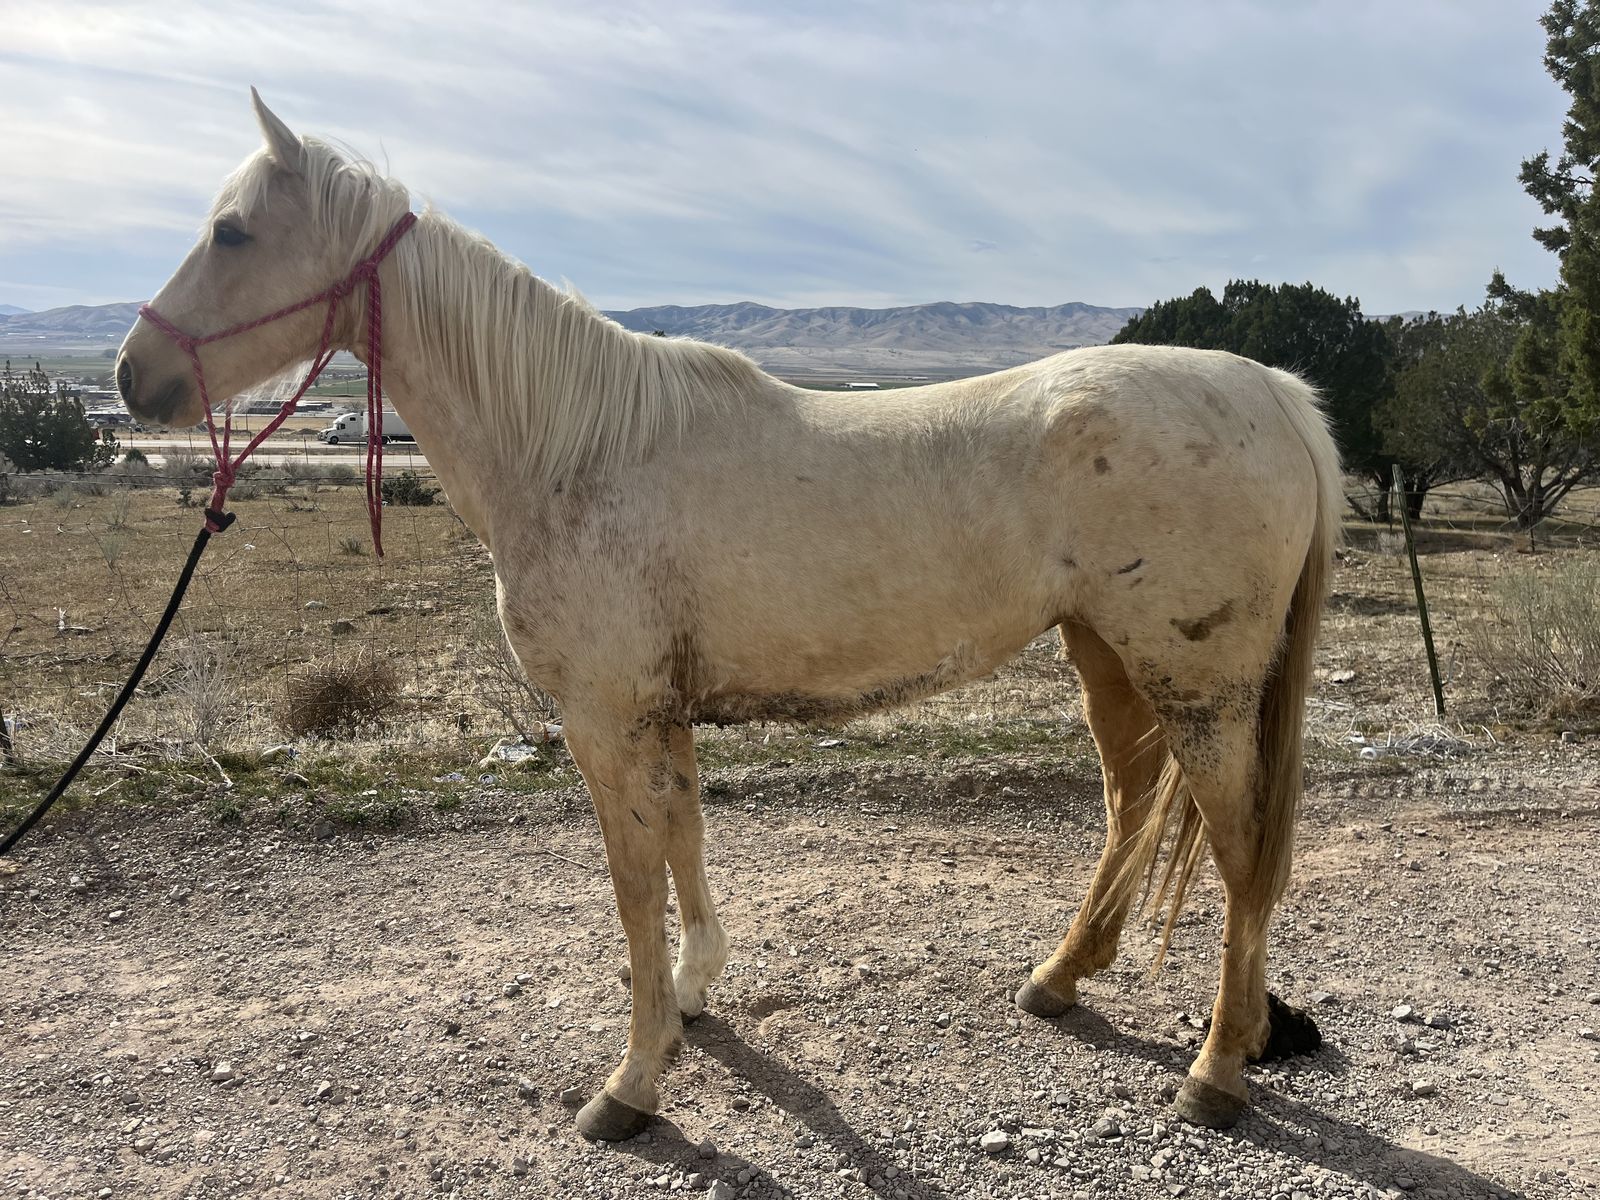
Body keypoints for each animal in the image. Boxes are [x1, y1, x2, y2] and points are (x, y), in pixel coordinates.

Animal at [116, 92, 1340, 1141]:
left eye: (231, 233)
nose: (134, 378)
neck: (574, 447)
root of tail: (1277, 394)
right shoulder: (660, 713)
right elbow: (684, 844)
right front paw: (694, 997)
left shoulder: (605, 717)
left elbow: (632, 883)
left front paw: (633, 1081)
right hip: (1106, 654)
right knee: (1132, 804)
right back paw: (1060, 978)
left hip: (1199, 684)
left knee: (1242, 857)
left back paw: (1217, 1069)